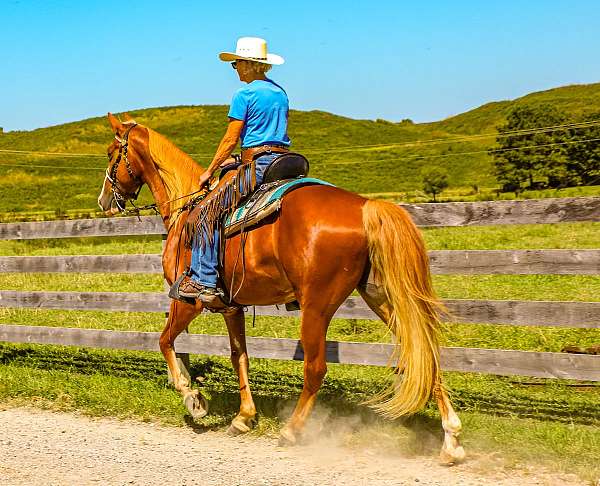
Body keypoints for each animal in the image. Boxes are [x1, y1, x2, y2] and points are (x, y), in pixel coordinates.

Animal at [97, 114, 464, 464]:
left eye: (112, 153)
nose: (103, 200)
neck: (185, 210)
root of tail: (365, 206)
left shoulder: (188, 301)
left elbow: (164, 341)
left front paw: (193, 399)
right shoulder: (231, 305)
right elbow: (239, 356)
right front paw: (243, 417)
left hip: (317, 306)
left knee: (316, 369)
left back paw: (292, 430)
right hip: (381, 296)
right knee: (424, 352)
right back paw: (452, 440)